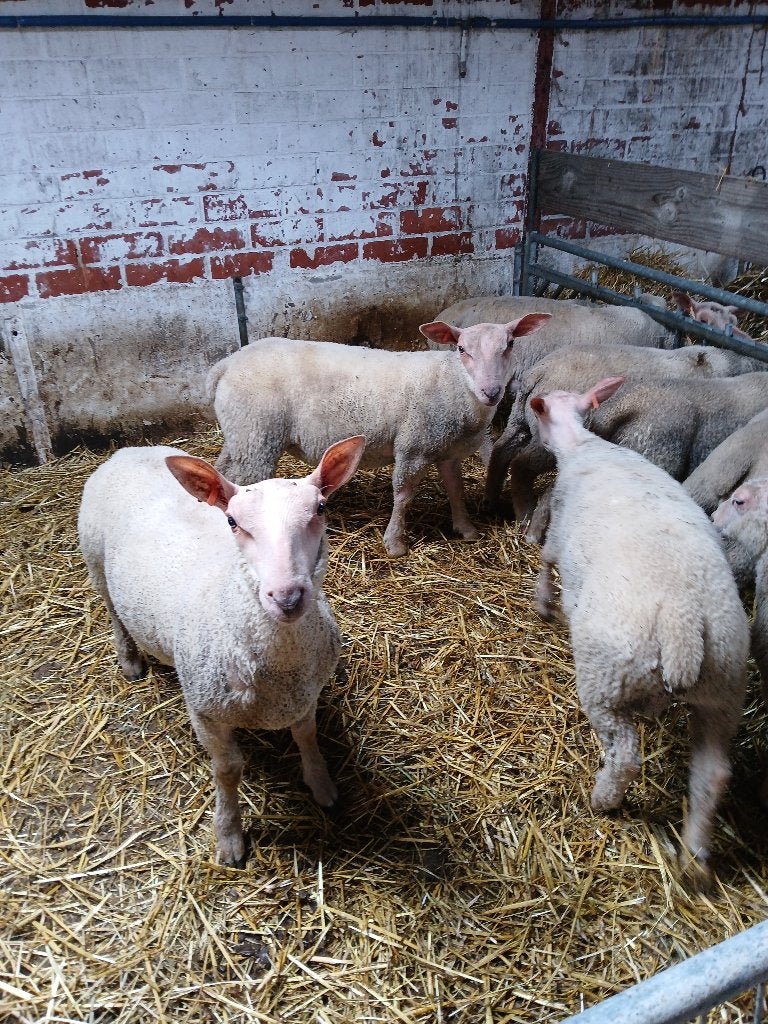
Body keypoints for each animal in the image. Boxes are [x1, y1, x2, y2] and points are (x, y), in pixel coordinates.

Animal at [78, 435, 366, 867]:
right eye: (232, 521)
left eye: (321, 508)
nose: (288, 597)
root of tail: (129, 450)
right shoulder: (206, 711)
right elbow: (228, 771)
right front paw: (229, 837)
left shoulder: (305, 694)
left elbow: (307, 736)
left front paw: (322, 786)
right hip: (95, 560)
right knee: (113, 611)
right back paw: (129, 660)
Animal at [207, 315, 550, 558]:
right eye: (462, 349)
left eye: (509, 345)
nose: (491, 392)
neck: (454, 383)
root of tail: (225, 364)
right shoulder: (414, 445)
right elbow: (403, 495)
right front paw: (395, 543)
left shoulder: (446, 449)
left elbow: (455, 488)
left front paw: (465, 528)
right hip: (257, 436)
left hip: (241, 434)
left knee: (220, 473)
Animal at [531, 375, 750, 878]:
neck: (583, 445)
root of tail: (682, 625)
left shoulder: (558, 524)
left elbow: (547, 558)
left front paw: (543, 603)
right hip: (724, 691)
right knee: (713, 775)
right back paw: (694, 859)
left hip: (607, 679)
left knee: (626, 756)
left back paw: (602, 800)